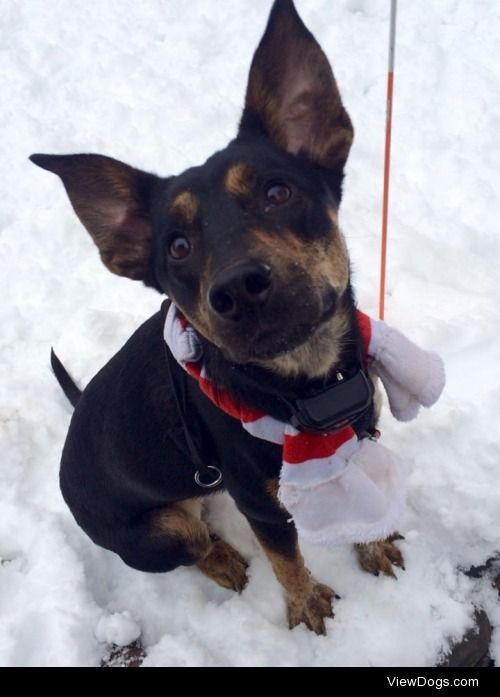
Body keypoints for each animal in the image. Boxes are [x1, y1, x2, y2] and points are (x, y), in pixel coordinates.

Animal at [31, 0, 404, 636]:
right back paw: (225, 559)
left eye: (278, 193)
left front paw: (373, 545)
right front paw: (307, 605)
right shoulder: (260, 501)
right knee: (197, 541)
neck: (307, 384)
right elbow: (286, 558)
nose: (239, 288)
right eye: (177, 247)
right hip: (159, 531)